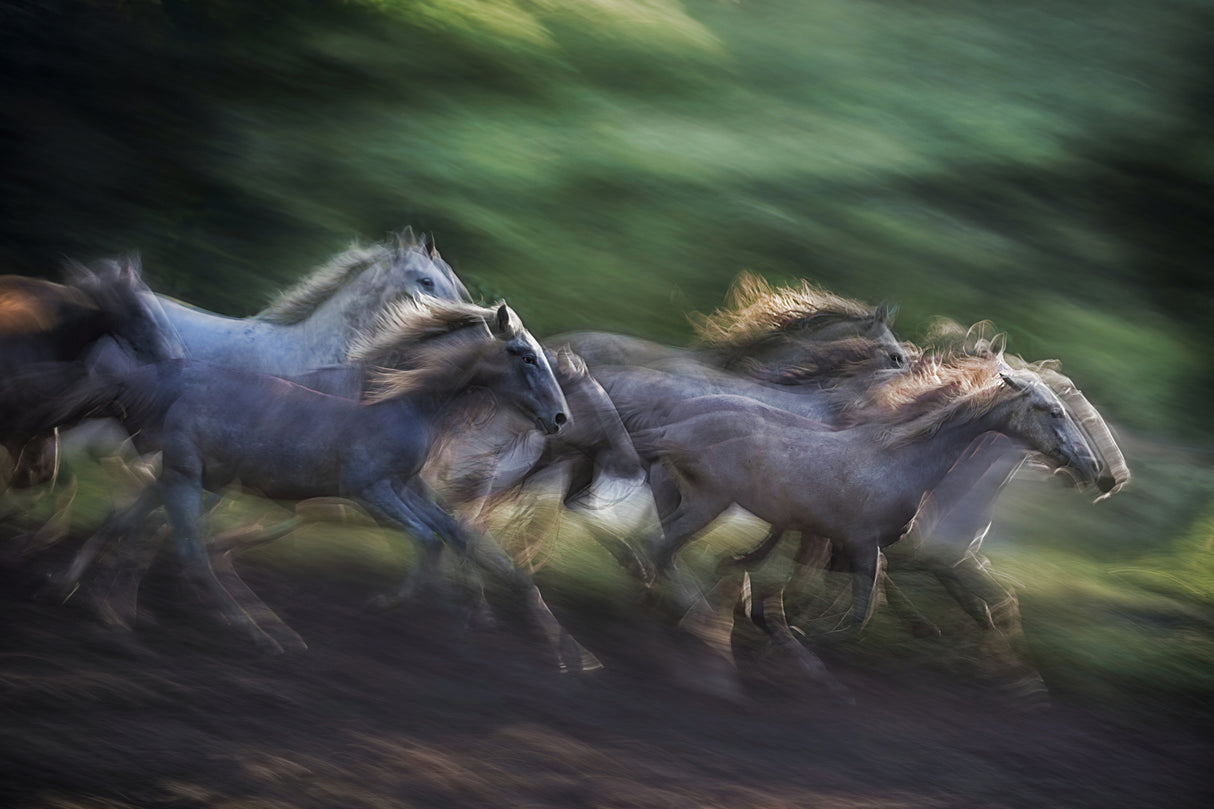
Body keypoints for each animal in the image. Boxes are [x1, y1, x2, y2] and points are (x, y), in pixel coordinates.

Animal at [627, 352, 1101, 700]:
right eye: (1052, 411)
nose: (1092, 467)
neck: (898, 460)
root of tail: (672, 423)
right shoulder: (861, 545)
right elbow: (859, 613)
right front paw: (809, 660)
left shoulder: (843, 547)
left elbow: (811, 600)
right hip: (707, 502)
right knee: (659, 550)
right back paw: (698, 620)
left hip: (677, 496)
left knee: (652, 552)